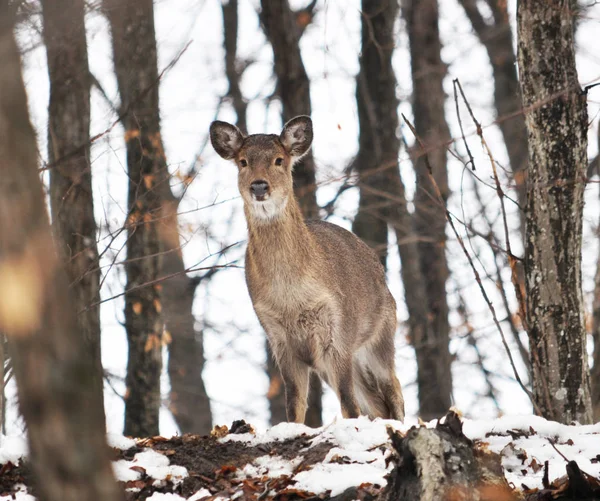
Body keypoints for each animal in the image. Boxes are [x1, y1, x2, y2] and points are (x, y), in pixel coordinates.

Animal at [210, 116, 404, 422]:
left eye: (279, 160)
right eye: (243, 161)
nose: (259, 186)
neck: (291, 295)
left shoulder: (338, 330)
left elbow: (349, 405)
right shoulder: (277, 337)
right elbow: (295, 403)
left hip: (381, 334)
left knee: (393, 387)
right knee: (376, 403)